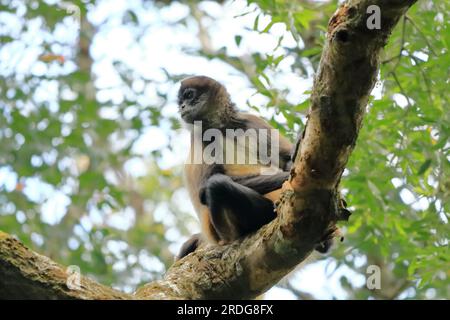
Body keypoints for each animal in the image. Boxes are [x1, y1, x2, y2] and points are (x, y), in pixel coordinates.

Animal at [176, 75, 334, 260]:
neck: (222, 128)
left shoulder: (249, 120)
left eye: (189, 96)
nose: (182, 107)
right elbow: (203, 190)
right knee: (217, 184)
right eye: (181, 102)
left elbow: (286, 159)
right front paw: (288, 176)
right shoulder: (199, 136)